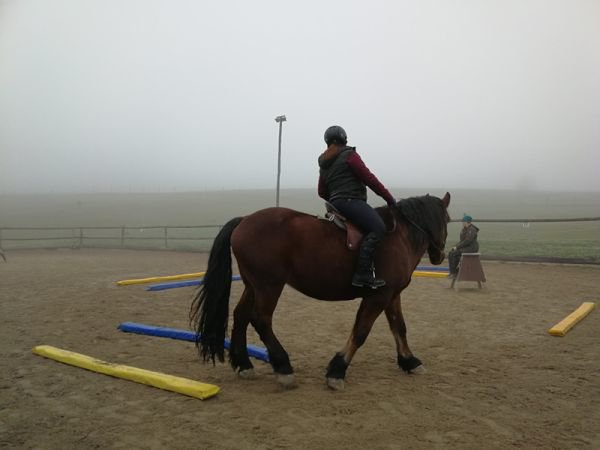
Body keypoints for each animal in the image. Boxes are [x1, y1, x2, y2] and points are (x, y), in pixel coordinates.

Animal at [190, 192, 451, 390]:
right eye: (448, 219)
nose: (440, 255)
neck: (399, 237)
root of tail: (244, 220)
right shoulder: (378, 296)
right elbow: (360, 332)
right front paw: (337, 370)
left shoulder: (392, 295)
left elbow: (399, 327)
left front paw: (410, 361)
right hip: (268, 285)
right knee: (260, 319)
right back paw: (283, 367)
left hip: (253, 285)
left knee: (241, 315)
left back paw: (244, 365)